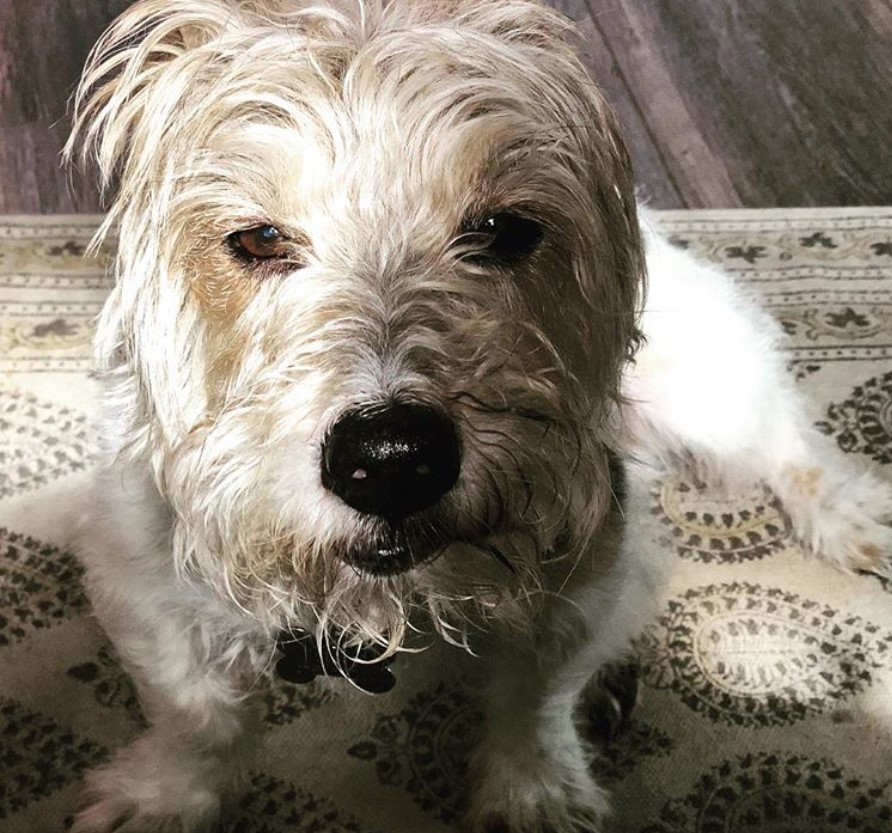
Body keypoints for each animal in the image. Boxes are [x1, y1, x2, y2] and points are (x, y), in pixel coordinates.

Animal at [64, 1, 892, 832]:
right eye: (259, 238)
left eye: (502, 230)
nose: (392, 459)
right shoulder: (142, 581)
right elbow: (198, 715)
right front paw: (167, 795)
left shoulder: (585, 567)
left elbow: (536, 701)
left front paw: (535, 792)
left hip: (704, 383)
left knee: (784, 435)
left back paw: (850, 512)